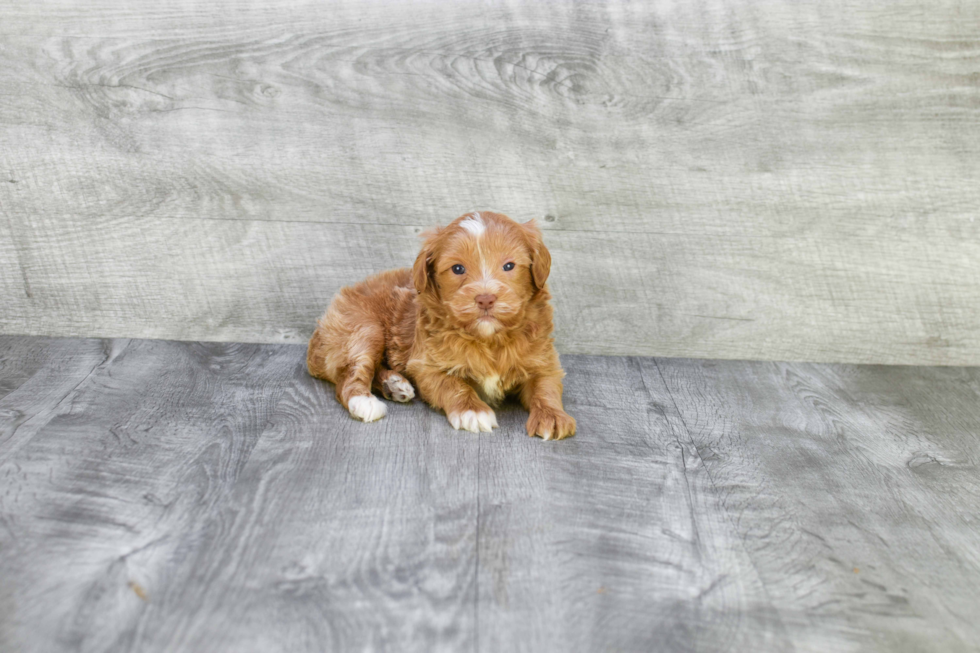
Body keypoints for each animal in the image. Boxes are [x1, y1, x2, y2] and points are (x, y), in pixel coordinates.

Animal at [306, 211, 576, 440]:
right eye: (458, 268)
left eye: (509, 266)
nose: (485, 298)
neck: (489, 338)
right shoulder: (427, 365)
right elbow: (452, 384)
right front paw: (472, 411)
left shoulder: (543, 359)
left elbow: (545, 386)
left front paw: (552, 416)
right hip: (362, 328)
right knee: (349, 374)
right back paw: (365, 402)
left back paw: (392, 384)